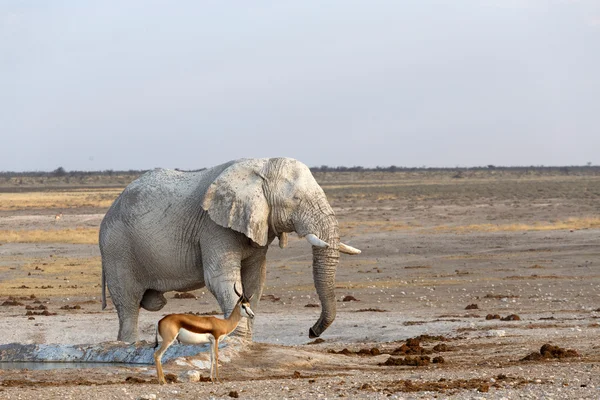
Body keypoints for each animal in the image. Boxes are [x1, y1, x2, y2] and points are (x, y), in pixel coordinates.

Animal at [99, 158, 360, 342]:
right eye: (296, 199)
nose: (311, 332)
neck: (262, 165)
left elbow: (254, 282)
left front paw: (246, 343)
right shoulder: (214, 226)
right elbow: (221, 280)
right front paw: (235, 341)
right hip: (117, 249)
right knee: (129, 305)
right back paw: (129, 346)